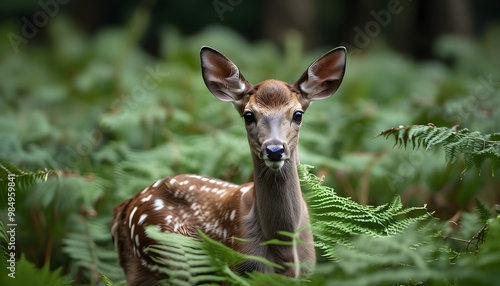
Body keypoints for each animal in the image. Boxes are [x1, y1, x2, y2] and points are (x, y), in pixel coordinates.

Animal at [111, 45, 346, 284]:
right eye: (249, 115)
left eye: (298, 114)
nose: (274, 150)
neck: (283, 249)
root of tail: (125, 207)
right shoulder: (240, 268)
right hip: (166, 253)